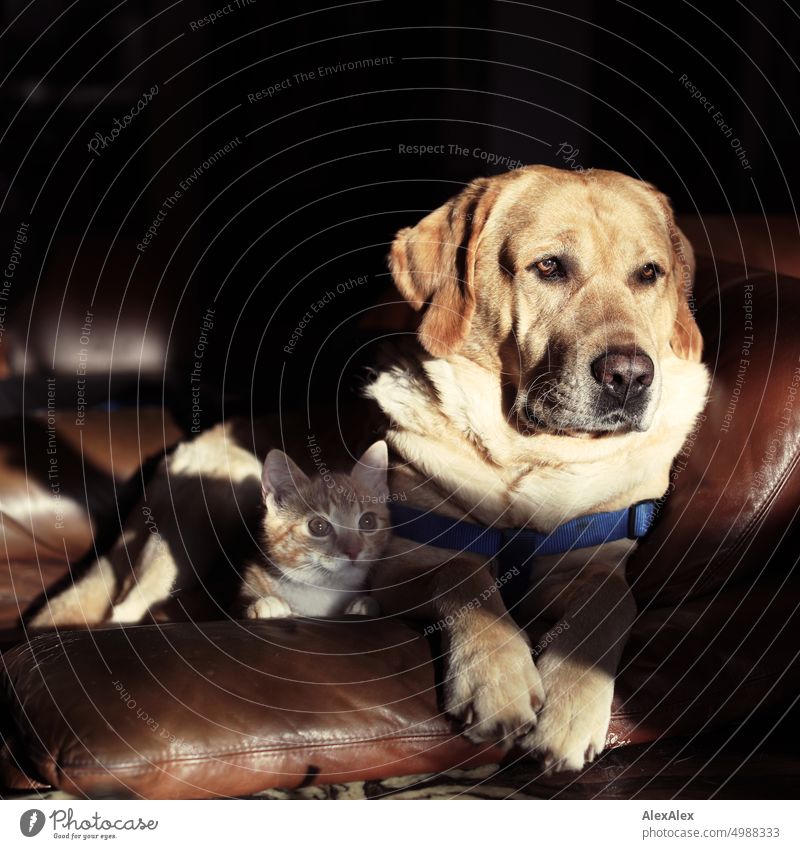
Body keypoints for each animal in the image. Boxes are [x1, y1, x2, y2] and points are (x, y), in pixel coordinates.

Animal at [241, 440, 390, 620]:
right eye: (318, 526)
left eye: (368, 522)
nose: (354, 550)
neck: (322, 589)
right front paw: (267, 603)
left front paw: (364, 605)